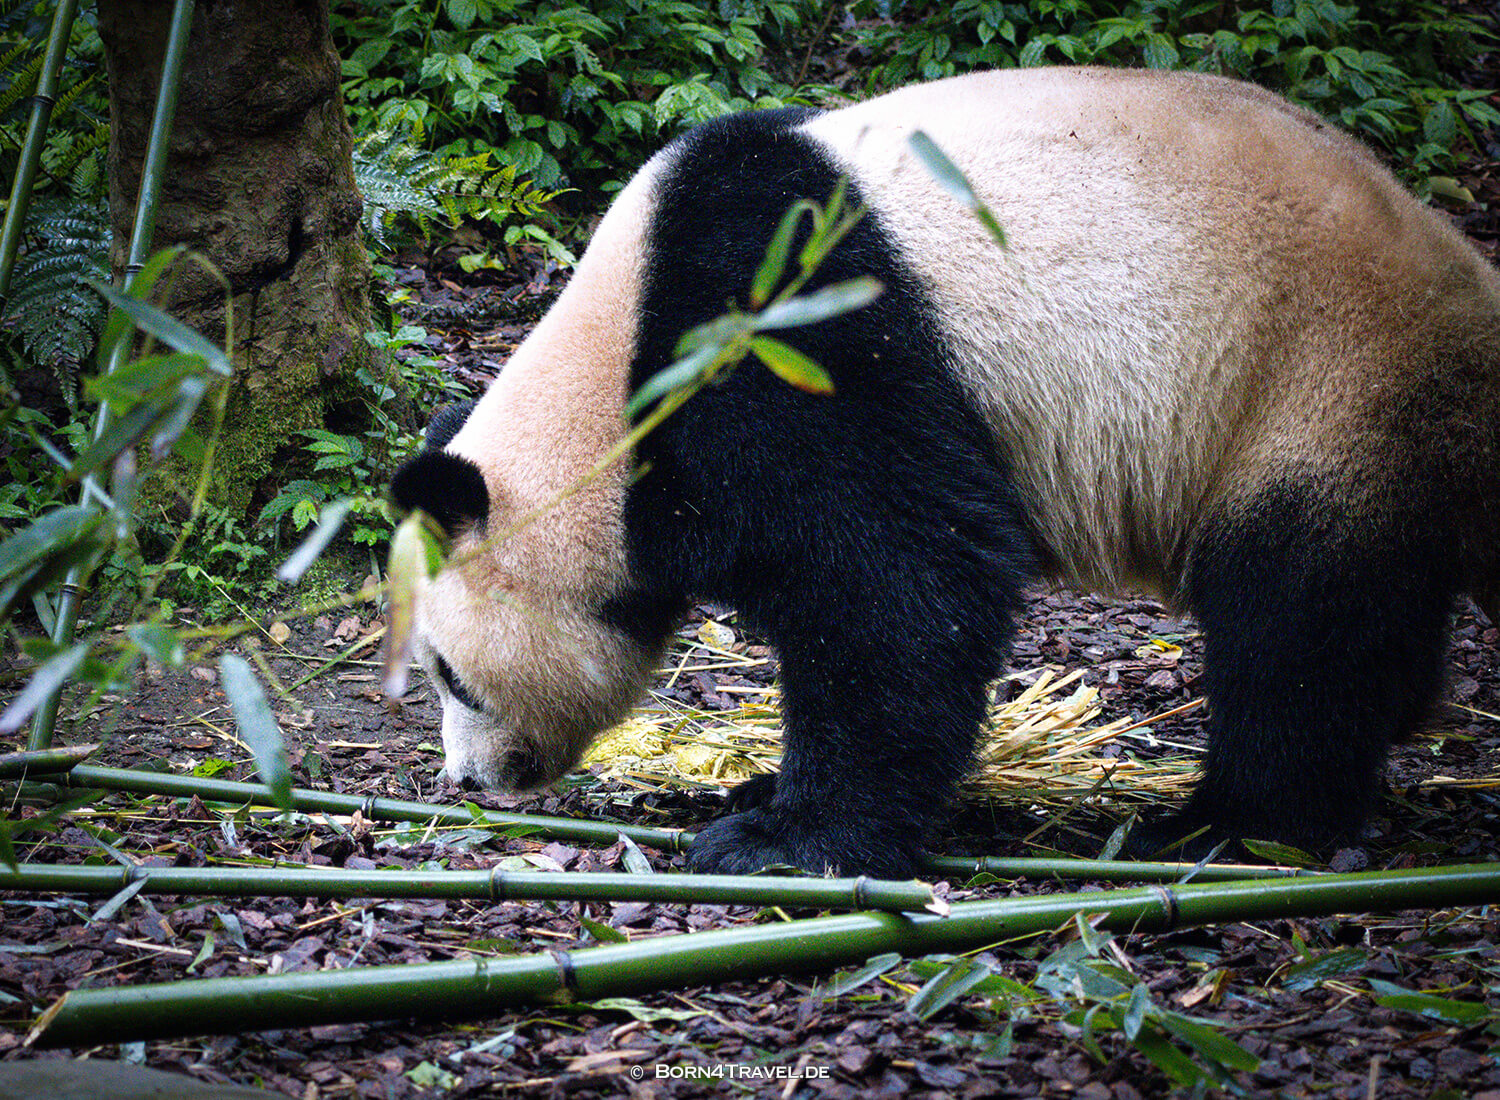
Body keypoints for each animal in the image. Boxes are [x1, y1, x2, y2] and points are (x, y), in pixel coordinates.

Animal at [392, 66, 1500, 879]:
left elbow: (897, 580)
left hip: (1326, 385)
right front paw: (758, 794)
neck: (615, 379)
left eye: (451, 674)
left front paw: (783, 841)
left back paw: (1228, 823)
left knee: (1297, 621)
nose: (472, 782)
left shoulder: (790, 328)